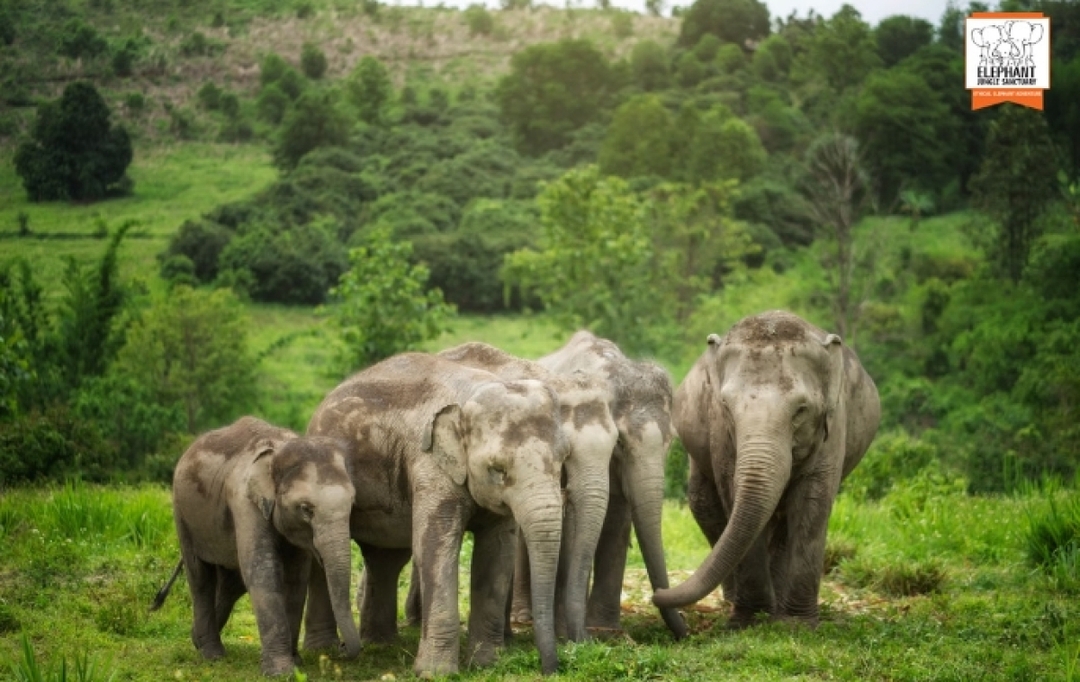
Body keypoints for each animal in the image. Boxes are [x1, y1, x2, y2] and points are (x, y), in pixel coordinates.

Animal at [163, 416, 360, 677]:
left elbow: (296, 578)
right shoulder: (244, 502)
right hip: (182, 513)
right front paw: (281, 672)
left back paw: (196, 639)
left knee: (231, 583)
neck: (280, 450)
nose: (343, 647)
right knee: (200, 577)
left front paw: (296, 662)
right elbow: (263, 571)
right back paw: (212, 654)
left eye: (352, 503)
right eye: (306, 509)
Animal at [300, 352, 568, 677]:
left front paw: (486, 665)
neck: (472, 392)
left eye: (564, 459)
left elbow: (497, 552)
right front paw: (436, 674)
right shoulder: (429, 465)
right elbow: (434, 547)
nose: (551, 669)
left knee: (385, 558)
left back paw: (380, 644)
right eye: (497, 470)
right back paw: (322, 651)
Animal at [537, 331, 688, 640]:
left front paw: (606, 630)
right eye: (620, 443)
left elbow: (618, 522)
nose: (687, 626)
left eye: (671, 441)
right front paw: (576, 632)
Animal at [652, 310, 881, 628]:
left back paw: (779, 603)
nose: (657, 594)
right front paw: (750, 620)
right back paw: (737, 601)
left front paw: (797, 624)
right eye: (726, 405)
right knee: (705, 506)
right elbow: (731, 491)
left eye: (801, 410)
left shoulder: (834, 426)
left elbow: (813, 502)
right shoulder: (719, 430)